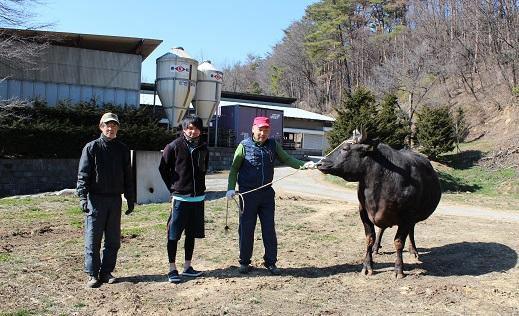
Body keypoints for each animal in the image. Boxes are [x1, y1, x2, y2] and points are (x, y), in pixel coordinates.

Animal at [316, 132, 442, 278]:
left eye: (346, 148)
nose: (319, 163)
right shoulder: (363, 211)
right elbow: (369, 238)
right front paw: (367, 266)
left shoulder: (408, 215)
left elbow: (399, 242)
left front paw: (399, 269)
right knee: (382, 229)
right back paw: (376, 248)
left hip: (414, 216)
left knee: (411, 230)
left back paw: (413, 250)